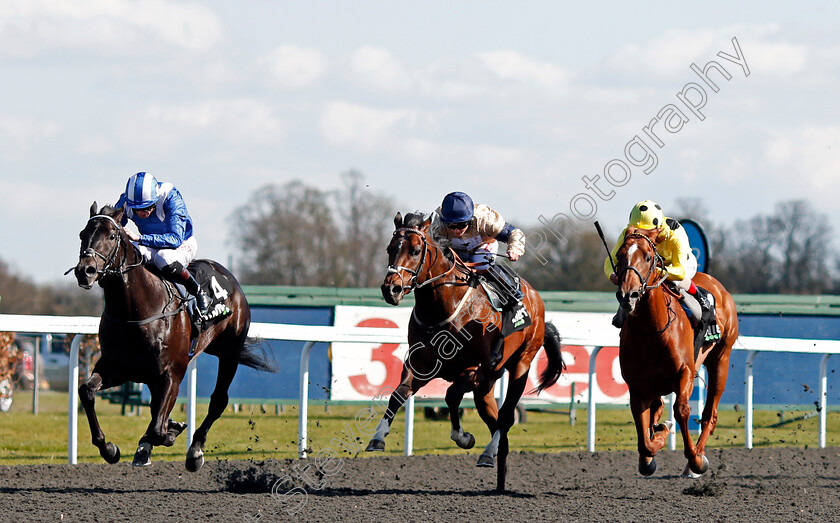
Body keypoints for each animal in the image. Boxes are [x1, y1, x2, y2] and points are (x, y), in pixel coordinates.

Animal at [73, 203, 274, 472]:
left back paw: (194, 450)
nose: (85, 270)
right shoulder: (118, 367)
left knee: (218, 400)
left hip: (229, 351)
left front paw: (170, 433)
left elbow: (158, 429)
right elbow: (87, 391)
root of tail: (228, 276)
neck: (136, 310)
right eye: (82, 234)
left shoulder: (172, 373)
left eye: (112, 236)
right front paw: (110, 449)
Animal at [362, 212, 564, 492]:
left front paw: (464, 438)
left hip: (520, 365)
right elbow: (398, 395)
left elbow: (451, 396)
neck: (444, 307)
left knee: (506, 417)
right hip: (486, 387)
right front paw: (377, 437)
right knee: (498, 425)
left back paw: (487, 453)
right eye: (390, 249)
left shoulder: (472, 370)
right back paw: (497, 475)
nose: (390, 289)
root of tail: (537, 300)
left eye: (415, 250)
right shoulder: (419, 365)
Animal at [612, 227, 740, 476]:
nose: (628, 296)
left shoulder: (685, 372)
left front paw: (695, 459)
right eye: (619, 256)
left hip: (721, 358)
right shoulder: (637, 386)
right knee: (659, 407)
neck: (652, 331)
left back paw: (697, 457)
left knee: (710, 414)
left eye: (648, 257)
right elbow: (645, 438)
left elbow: (681, 410)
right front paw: (653, 447)